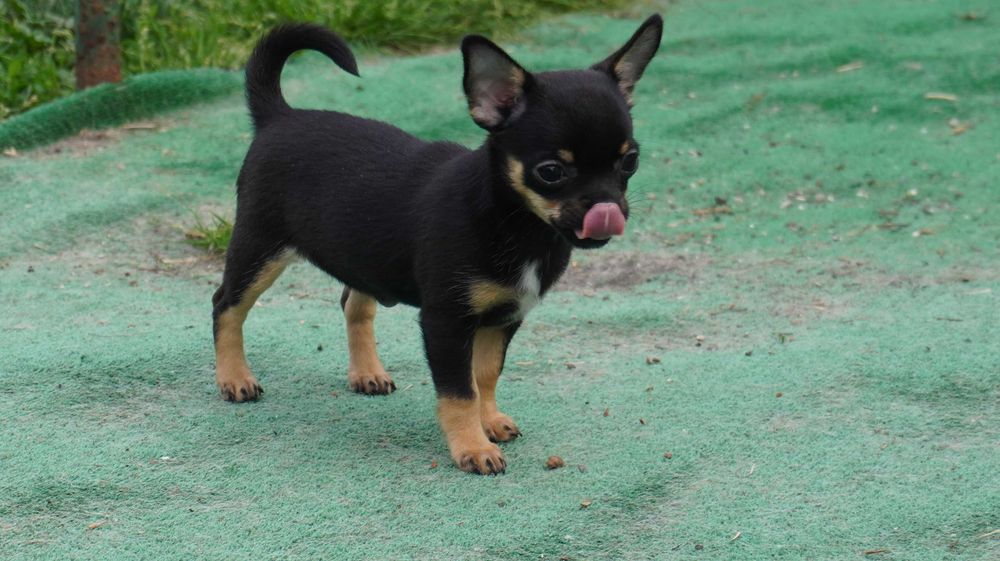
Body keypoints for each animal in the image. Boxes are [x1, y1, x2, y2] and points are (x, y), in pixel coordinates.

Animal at [212, 15, 662, 474]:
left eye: (630, 161)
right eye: (551, 171)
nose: (608, 209)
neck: (515, 223)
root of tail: (278, 115)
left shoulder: (504, 317)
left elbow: (485, 376)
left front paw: (489, 420)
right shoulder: (446, 321)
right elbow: (460, 391)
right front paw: (473, 447)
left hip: (361, 255)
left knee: (353, 304)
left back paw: (366, 372)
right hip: (260, 247)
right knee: (226, 304)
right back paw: (235, 378)